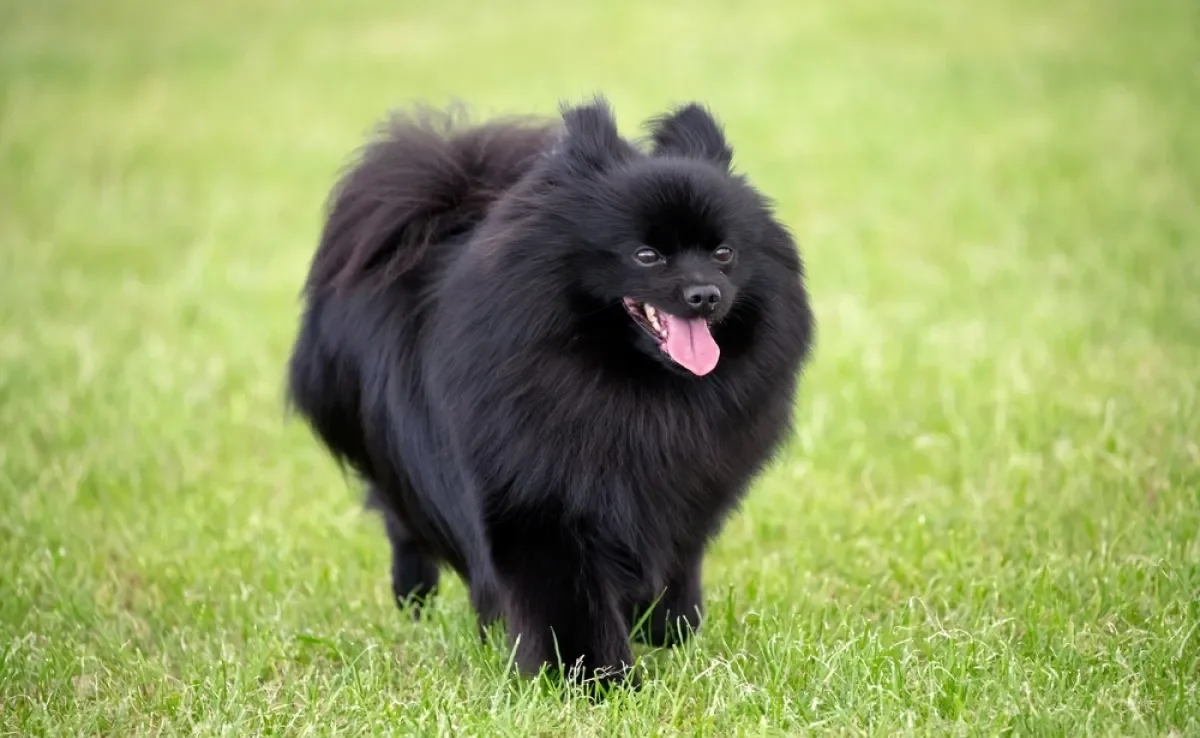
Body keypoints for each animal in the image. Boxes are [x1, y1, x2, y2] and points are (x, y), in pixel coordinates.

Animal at [288, 95, 816, 691]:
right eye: (647, 256)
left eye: (724, 253)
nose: (705, 294)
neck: (632, 390)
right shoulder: (538, 507)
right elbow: (569, 606)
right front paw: (601, 682)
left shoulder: (681, 501)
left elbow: (675, 577)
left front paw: (669, 635)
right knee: (404, 526)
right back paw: (418, 605)